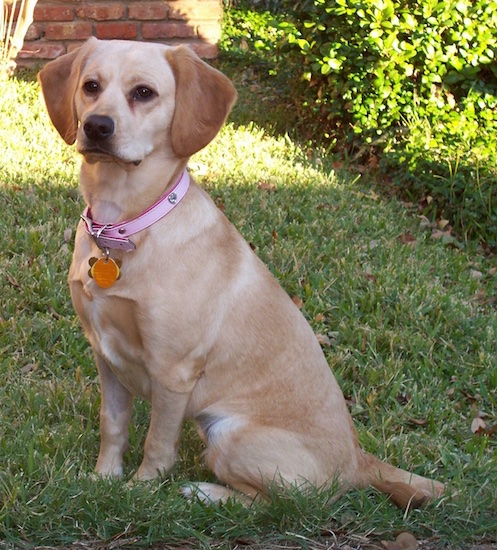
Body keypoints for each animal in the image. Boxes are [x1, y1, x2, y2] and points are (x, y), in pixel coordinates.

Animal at [36, 38, 444, 512]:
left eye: (144, 93)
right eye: (91, 86)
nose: (97, 126)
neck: (122, 226)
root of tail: (358, 462)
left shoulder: (172, 372)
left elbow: (157, 444)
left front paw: (139, 492)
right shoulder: (105, 355)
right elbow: (113, 425)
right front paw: (104, 480)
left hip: (229, 434)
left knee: (276, 504)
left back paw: (205, 492)